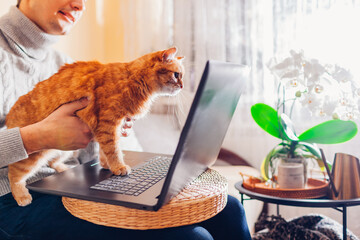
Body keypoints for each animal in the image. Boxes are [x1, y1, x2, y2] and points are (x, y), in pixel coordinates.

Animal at [5, 47, 184, 206]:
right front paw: (118, 167)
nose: (182, 86)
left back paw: (64, 170)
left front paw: (107, 165)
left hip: (64, 150)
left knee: (52, 163)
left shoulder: (110, 128)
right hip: (34, 157)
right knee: (13, 174)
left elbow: (106, 151)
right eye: (177, 75)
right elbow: (113, 149)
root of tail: (10, 115)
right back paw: (22, 196)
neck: (132, 78)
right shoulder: (108, 124)